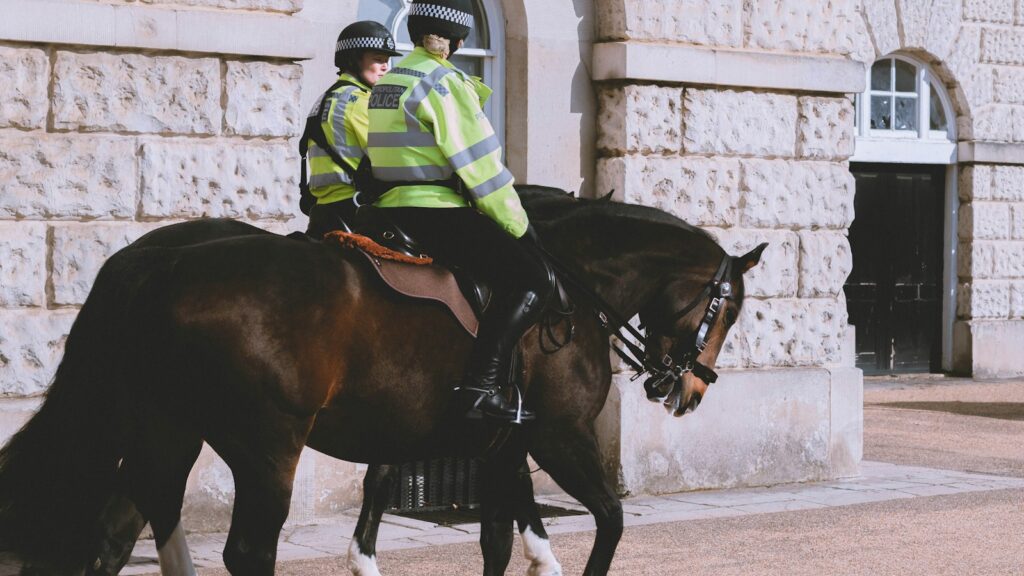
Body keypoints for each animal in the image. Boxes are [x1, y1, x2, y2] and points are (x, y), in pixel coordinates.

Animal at [0, 190, 765, 576]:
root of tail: (158, 261)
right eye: (728, 307)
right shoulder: (558, 437)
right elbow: (608, 523)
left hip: (166, 432)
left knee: (110, 538)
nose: (689, 390)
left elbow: (496, 538)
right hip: (266, 448)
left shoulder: (498, 447)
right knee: (246, 552)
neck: (569, 291)